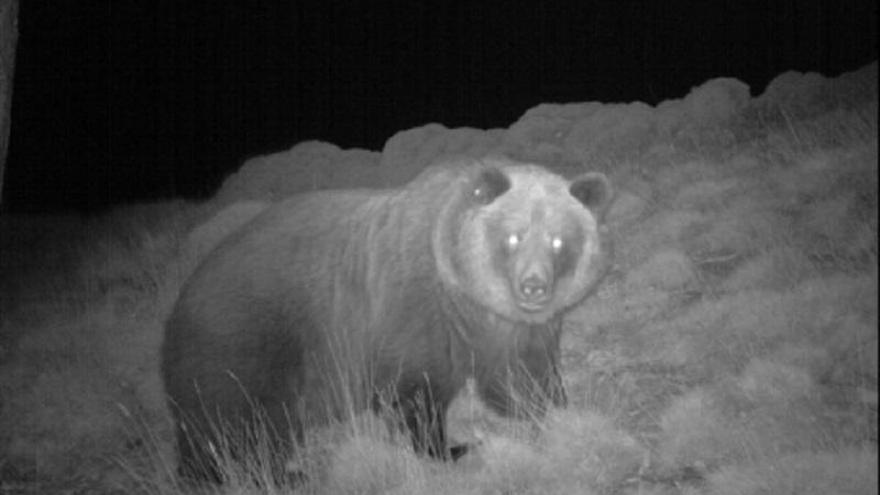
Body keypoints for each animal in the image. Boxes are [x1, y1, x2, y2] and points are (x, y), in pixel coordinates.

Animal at [160, 157, 612, 482]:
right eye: (514, 235)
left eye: (558, 240)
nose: (533, 286)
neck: (464, 296)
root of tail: (180, 299)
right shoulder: (410, 313)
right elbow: (415, 394)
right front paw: (452, 448)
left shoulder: (509, 329)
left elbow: (521, 377)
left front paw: (556, 409)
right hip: (241, 348)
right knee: (238, 428)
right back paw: (275, 473)